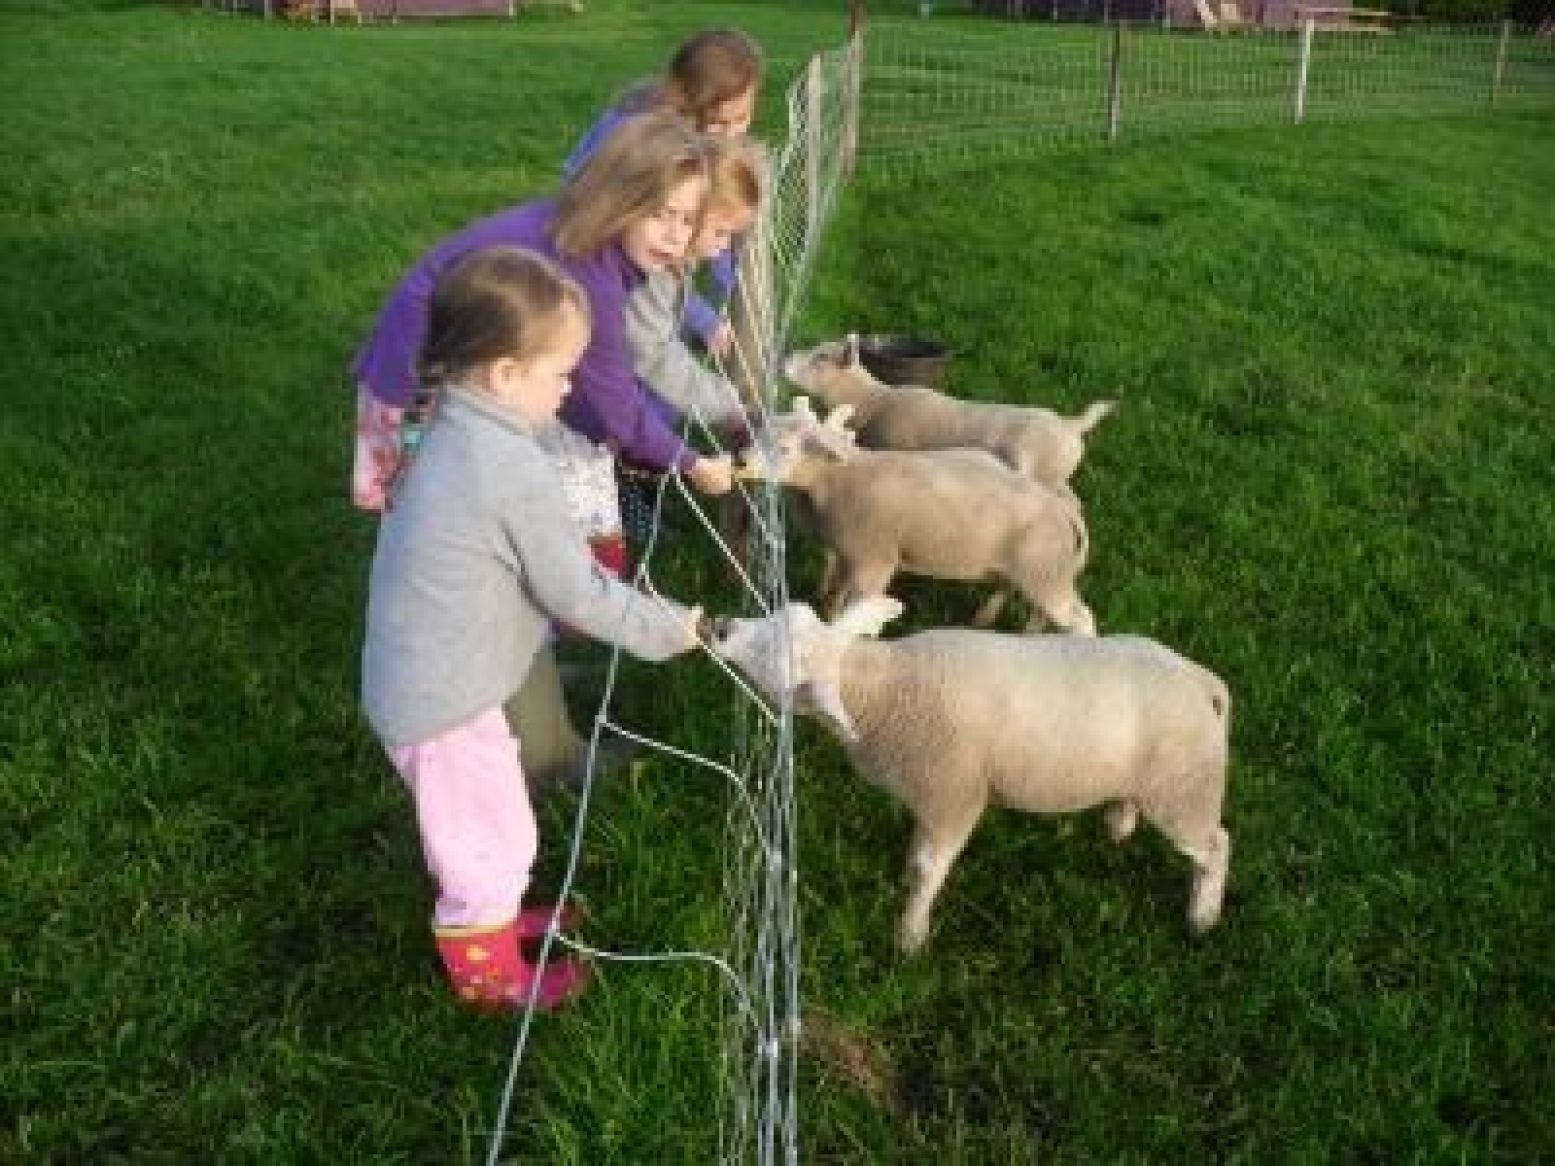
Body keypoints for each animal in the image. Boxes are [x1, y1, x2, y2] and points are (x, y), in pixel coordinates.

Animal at [705, 596, 1225, 951]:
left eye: (777, 661)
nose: (720, 626)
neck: (884, 689)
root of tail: (1205, 683)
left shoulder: (953, 795)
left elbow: (929, 867)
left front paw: (910, 934)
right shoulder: (929, 797)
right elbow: (918, 852)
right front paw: (905, 884)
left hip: (1185, 790)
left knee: (1216, 847)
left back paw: (1203, 915)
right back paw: (1119, 821)